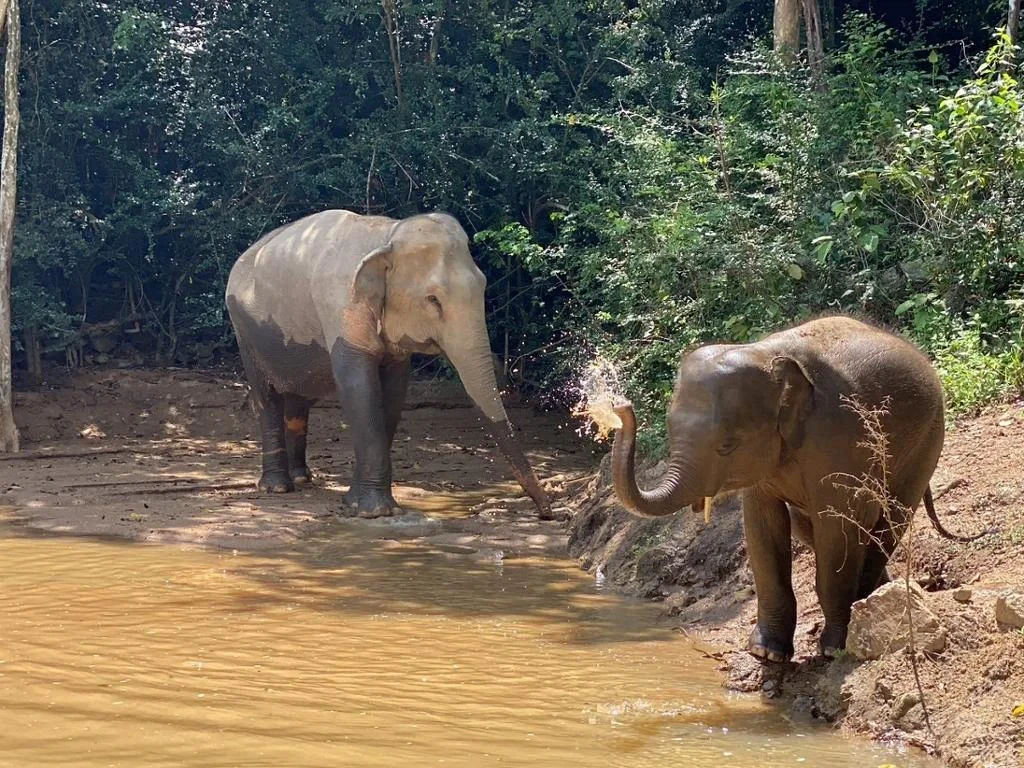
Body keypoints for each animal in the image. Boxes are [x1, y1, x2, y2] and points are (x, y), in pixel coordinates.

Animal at [225, 209, 551, 520]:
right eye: (433, 299)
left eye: (483, 286)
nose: (546, 513)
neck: (385, 235)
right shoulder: (340, 307)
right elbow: (359, 390)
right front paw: (375, 511)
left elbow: (393, 394)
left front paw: (354, 502)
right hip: (244, 331)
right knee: (266, 399)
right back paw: (277, 487)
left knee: (297, 401)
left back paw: (302, 479)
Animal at [610, 315, 966, 661]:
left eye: (727, 445)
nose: (620, 407)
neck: (766, 353)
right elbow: (763, 526)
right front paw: (766, 652)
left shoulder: (839, 437)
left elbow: (835, 530)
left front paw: (833, 649)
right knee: (811, 523)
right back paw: (878, 592)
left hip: (927, 441)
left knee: (890, 520)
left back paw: (867, 598)